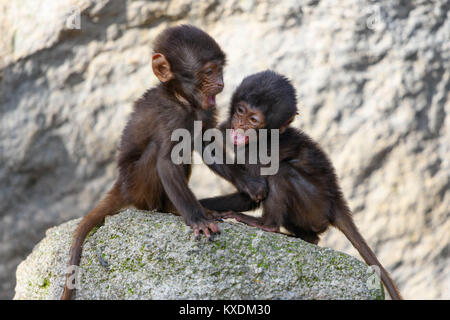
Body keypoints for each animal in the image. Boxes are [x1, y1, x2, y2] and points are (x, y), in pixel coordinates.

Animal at [61, 25, 266, 300]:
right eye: (209, 71)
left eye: (220, 69)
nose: (221, 83)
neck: (179, 98)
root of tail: (121, 184)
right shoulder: (170, 116)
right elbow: (167, 161)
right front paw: (197, 220)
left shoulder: (203, 110)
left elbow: (207, 146)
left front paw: (249, 184)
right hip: (138, 186)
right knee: (159, 153)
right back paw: (172, 209)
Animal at [202, 70, 402, 300]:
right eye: (240, 111)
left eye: (254, 120)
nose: (240, 127)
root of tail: (335, 200)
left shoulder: (257, 154)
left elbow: (252, 196)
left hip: (313, 208)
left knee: (281, 172)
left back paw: (267, 225)